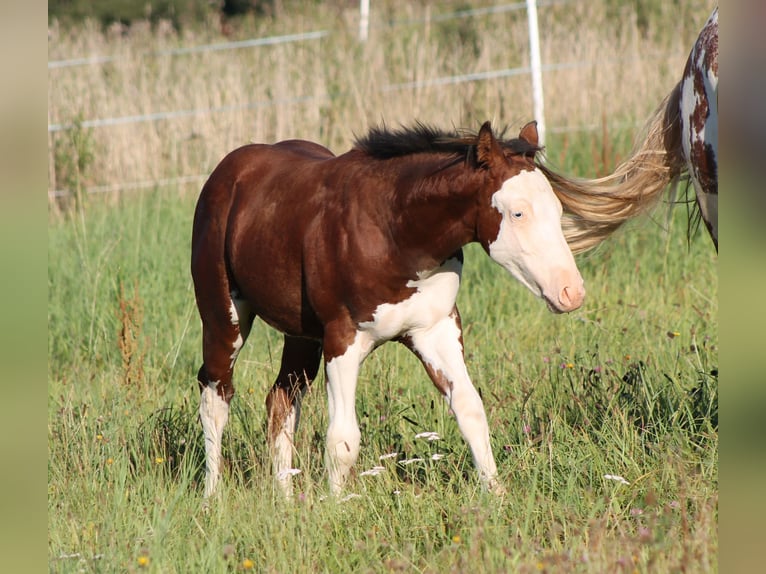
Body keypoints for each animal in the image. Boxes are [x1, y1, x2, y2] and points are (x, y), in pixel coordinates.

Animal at [191, 120, 585, 498]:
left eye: (559, 210)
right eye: (518, 213)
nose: (571, 292)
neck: (395, 230)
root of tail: (228, 170)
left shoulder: (435, 329)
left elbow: (470, 410)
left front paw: (497, 495)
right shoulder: (343, 340)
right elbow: (343, 440)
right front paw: (337, 509)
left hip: (301, 335)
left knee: (281, 400)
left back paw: (286, 499)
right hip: (223, 319)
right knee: (215, 397)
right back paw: (213, 498)